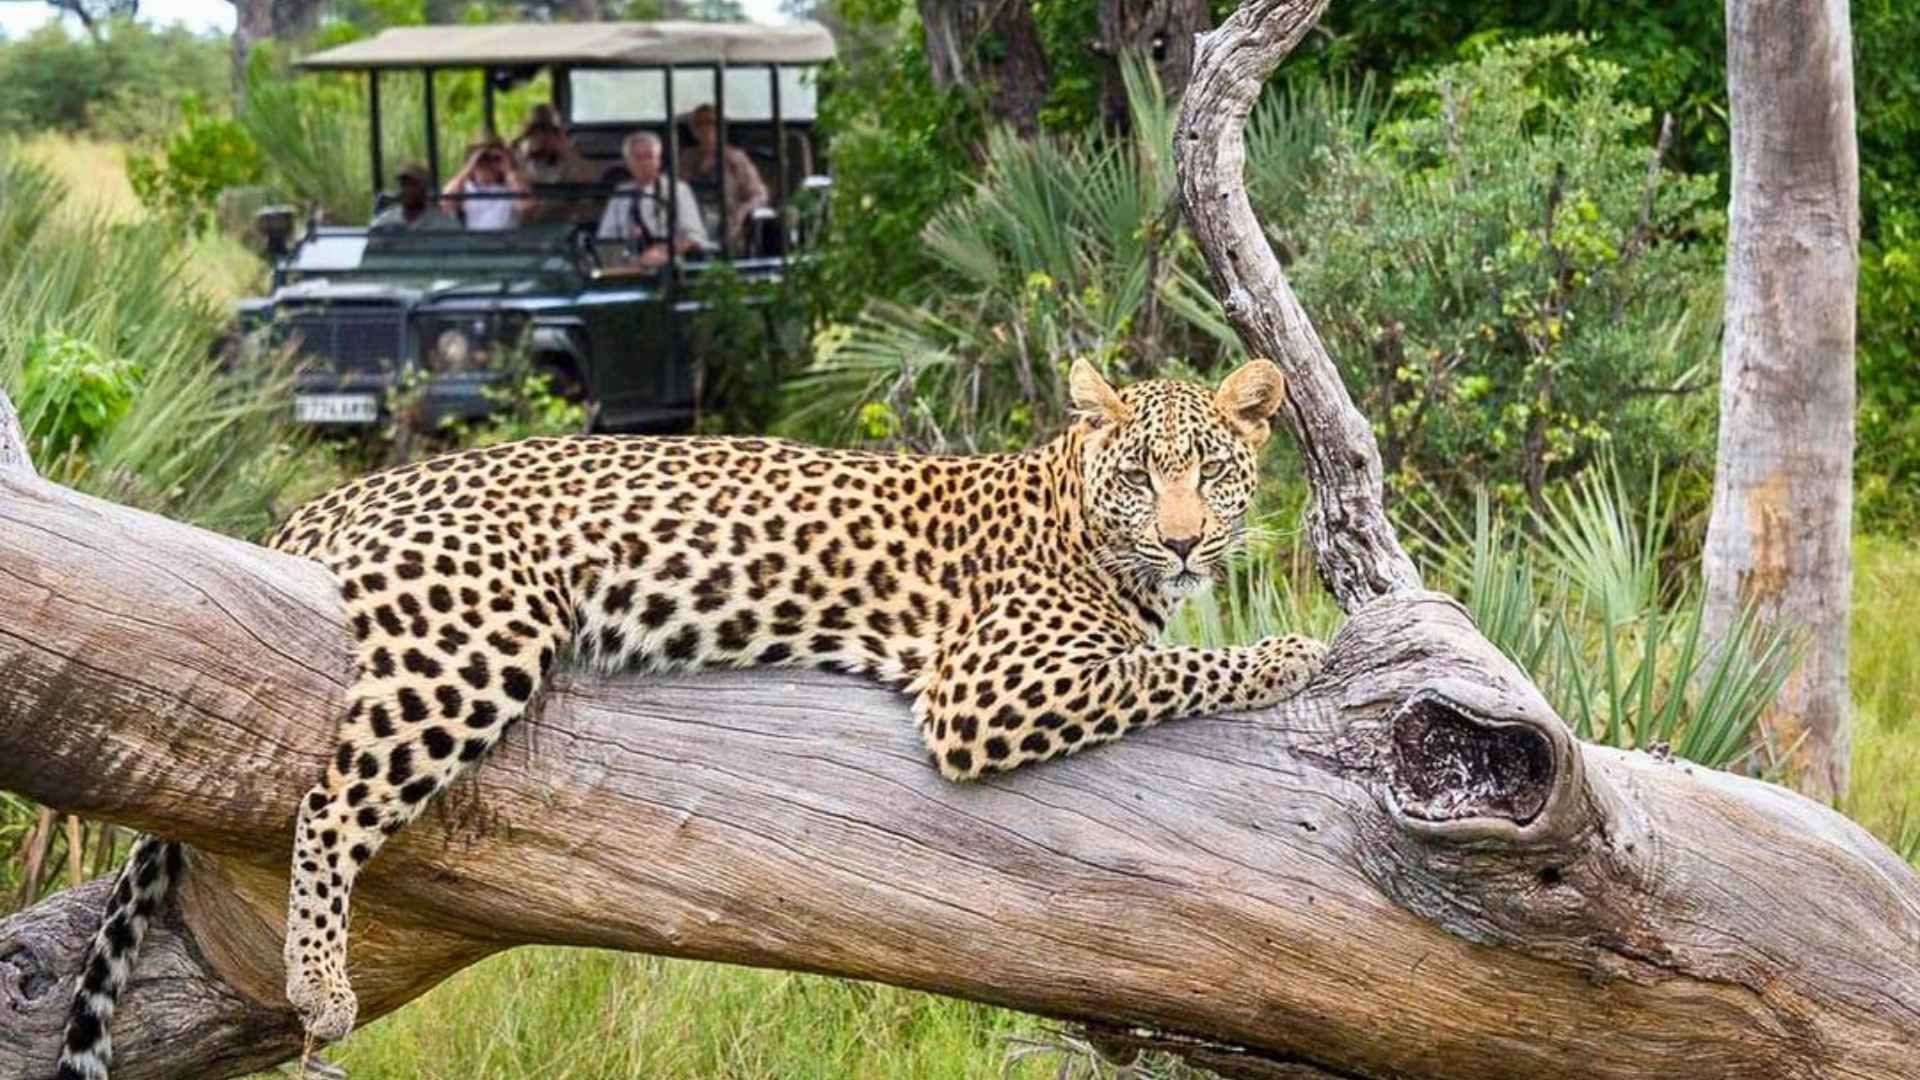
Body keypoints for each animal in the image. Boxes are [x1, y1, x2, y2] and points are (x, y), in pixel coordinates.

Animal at [55, 358, 1326, 1080]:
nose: (1183, 540)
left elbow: (1161, 655)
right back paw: (320, 984)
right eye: (1141, 474)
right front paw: (1294, 652)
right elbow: (1165, 667)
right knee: (327, 798)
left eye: (1213, 472)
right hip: (481, 631)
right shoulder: (987, 687)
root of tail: (342, 493)